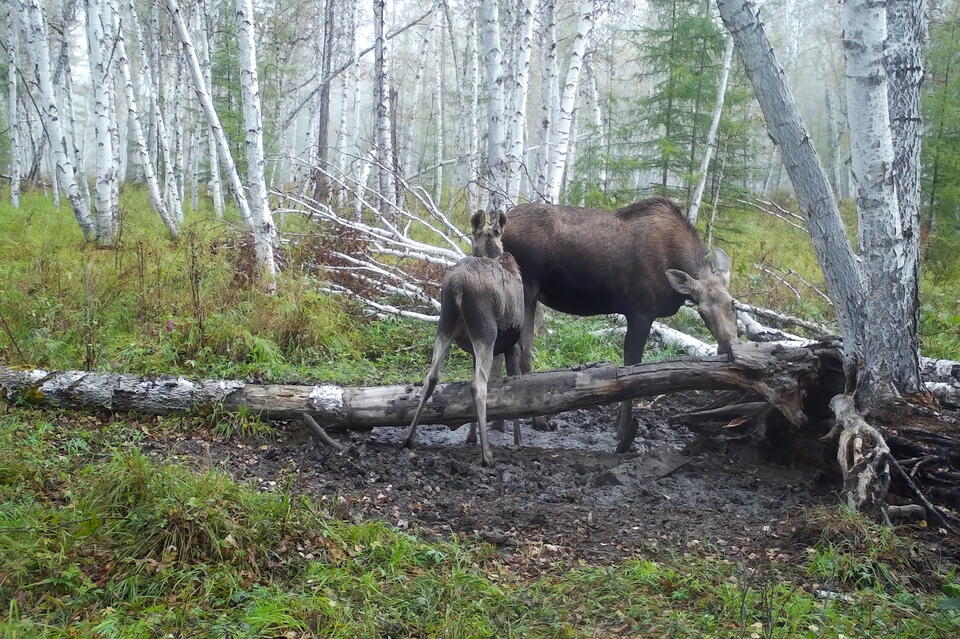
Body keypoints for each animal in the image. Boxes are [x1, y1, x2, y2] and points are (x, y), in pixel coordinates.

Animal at [404, 212, 524, 468]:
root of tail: (457, 284)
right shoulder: (514, 345)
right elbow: (514, 384)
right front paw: (518, 441)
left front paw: (471, 436)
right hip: (485, 332)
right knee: (478, 385)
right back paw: (487, 455)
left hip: (445, 325)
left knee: (431, 377)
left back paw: (408, 437)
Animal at [506, 198, 740, 452]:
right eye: (702, 312)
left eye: (733, 304)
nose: (729, 346)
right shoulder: (640, 313)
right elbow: (632, 367)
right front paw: (624, 435)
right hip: (524, 287)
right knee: (511, 350)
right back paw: (515, 433)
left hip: (533, 296)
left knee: (524, 349)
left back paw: (537, 421)